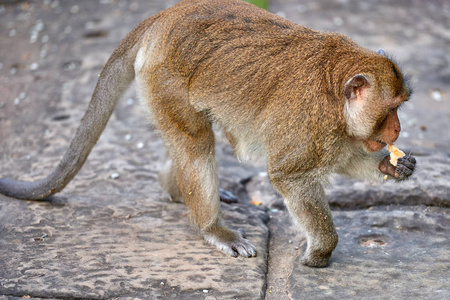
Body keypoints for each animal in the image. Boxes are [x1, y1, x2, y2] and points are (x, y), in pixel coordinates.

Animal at [0, 0, 414, 268]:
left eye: (401, 106)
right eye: (390, 109)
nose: (397, 128)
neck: (334, 92)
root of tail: (163, 16)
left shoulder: (333, 129)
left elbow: (343, 157)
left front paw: (392, 166)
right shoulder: (309, 119)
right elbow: (291, 176)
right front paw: (321, 252)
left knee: (188, 140)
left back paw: (172, 188)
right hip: (164, 78)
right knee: (195, 142)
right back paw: (212, 227)